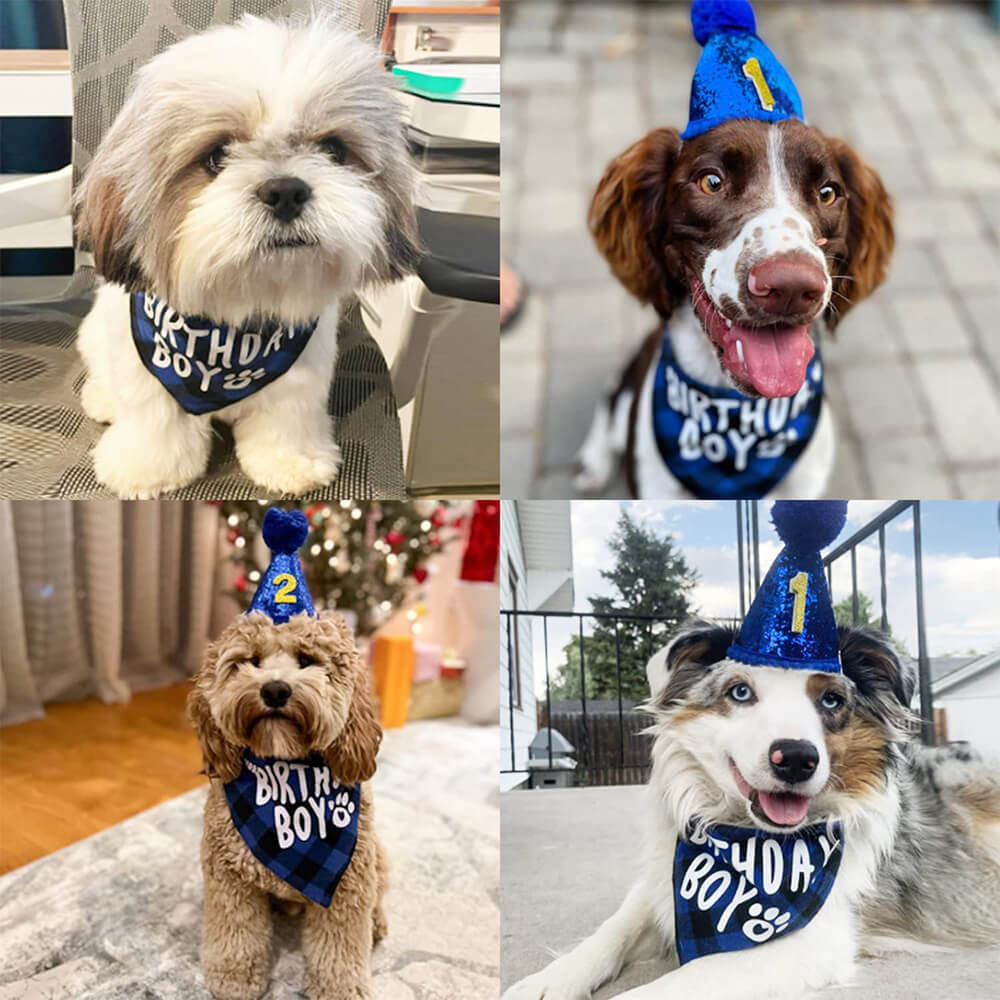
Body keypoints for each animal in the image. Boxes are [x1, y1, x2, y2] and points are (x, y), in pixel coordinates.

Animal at [75, 13, 418, 498]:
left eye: (333, 150)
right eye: (217, 155)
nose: (286, 190)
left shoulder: (300, 374)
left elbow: (286, 420)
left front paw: (290, 462)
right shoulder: (148, 371)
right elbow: (154, 420)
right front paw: (147, 467)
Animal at [189, 512, 384, 996]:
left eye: (307, 660)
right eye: (250, 660)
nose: (275, 690)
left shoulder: (349, 882)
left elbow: (339, 949)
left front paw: (339, 989)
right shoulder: (229, 879)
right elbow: (236, 935)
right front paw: (233, 979)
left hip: (378, 856)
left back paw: (378, 925)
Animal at [504, 620, 1000, 996]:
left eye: (832, 700)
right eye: (740, 692)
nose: (796, 758)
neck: (748, 840)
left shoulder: (809, 941)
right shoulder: (662, 882)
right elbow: (613, 929)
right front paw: (549, 980)